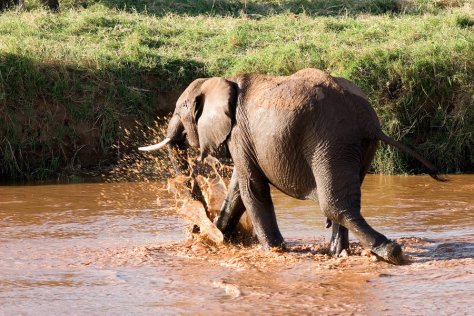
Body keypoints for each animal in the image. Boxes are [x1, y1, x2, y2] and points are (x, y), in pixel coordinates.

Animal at [139, 68, 442, 264]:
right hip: (355, 146)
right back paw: (336, 253)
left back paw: (391, 254)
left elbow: (252, 188)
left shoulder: (239, 132)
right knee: (345, 199)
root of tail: (369, 121)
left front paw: (273, 250)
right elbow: (239, 188)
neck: (223, 82)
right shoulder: (244, 139)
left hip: (330, 140)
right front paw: (220, 236)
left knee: (334, 204)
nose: (196, 228)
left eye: (181, 109)